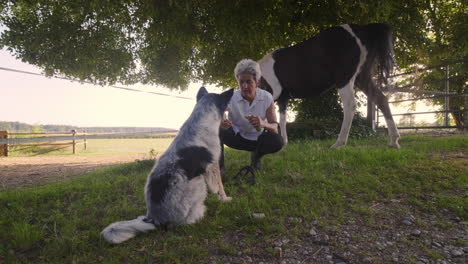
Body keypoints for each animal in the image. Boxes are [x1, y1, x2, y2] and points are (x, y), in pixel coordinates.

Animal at [102, 86, 234, 243]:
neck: (202, 119)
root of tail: (154, 219)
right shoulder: (213, 167)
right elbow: (220, 187)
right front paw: (225, 199)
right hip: (198, 183)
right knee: (187, 220)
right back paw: (200, 214)